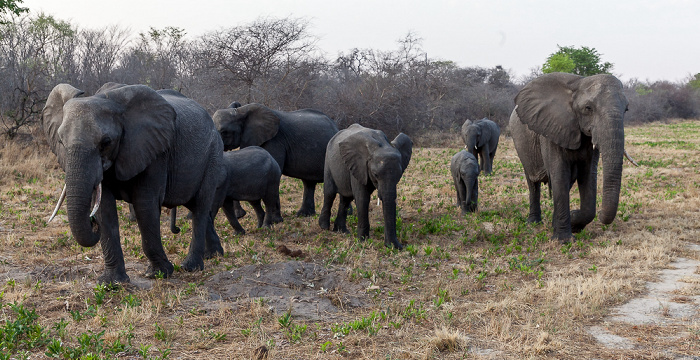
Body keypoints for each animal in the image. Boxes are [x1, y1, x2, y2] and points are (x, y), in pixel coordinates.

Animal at [43, 82, 224, 284]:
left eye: (106, 142)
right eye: (60, 142)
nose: (91, 221)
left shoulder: (155, 152)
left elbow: (145, 206)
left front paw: (159, 274)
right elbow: (105, 209)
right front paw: (112, 283)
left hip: (213, 155)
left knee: (200, 207)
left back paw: (191, 267)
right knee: (197, 207)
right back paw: (215, 255)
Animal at [512, 72, 636, 243]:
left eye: (626, 109)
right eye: (588, 108)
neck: (578, 83)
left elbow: (587, 175)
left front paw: (574, 223)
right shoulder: (551, 128)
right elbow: (559, 173)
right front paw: (564, 240)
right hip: (522, 146)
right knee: (533, 182)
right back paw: (533, 223)